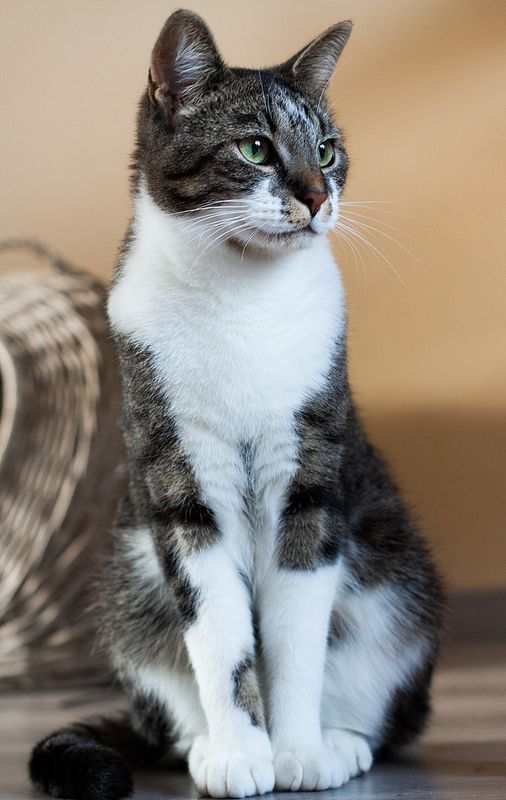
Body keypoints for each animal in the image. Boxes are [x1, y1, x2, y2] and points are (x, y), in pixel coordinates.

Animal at [29, 10, 444, 800]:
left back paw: (341, 741)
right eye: (255, 148)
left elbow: (296, 631)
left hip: (398, 582)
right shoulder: (180, 481)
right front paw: (241, 753)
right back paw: (200, 745)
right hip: (128, 579)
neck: (244, 300)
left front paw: (297, 750)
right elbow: (219, 632)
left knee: (384, 704)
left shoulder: (308, 476)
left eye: (328, 150)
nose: (318, 197)